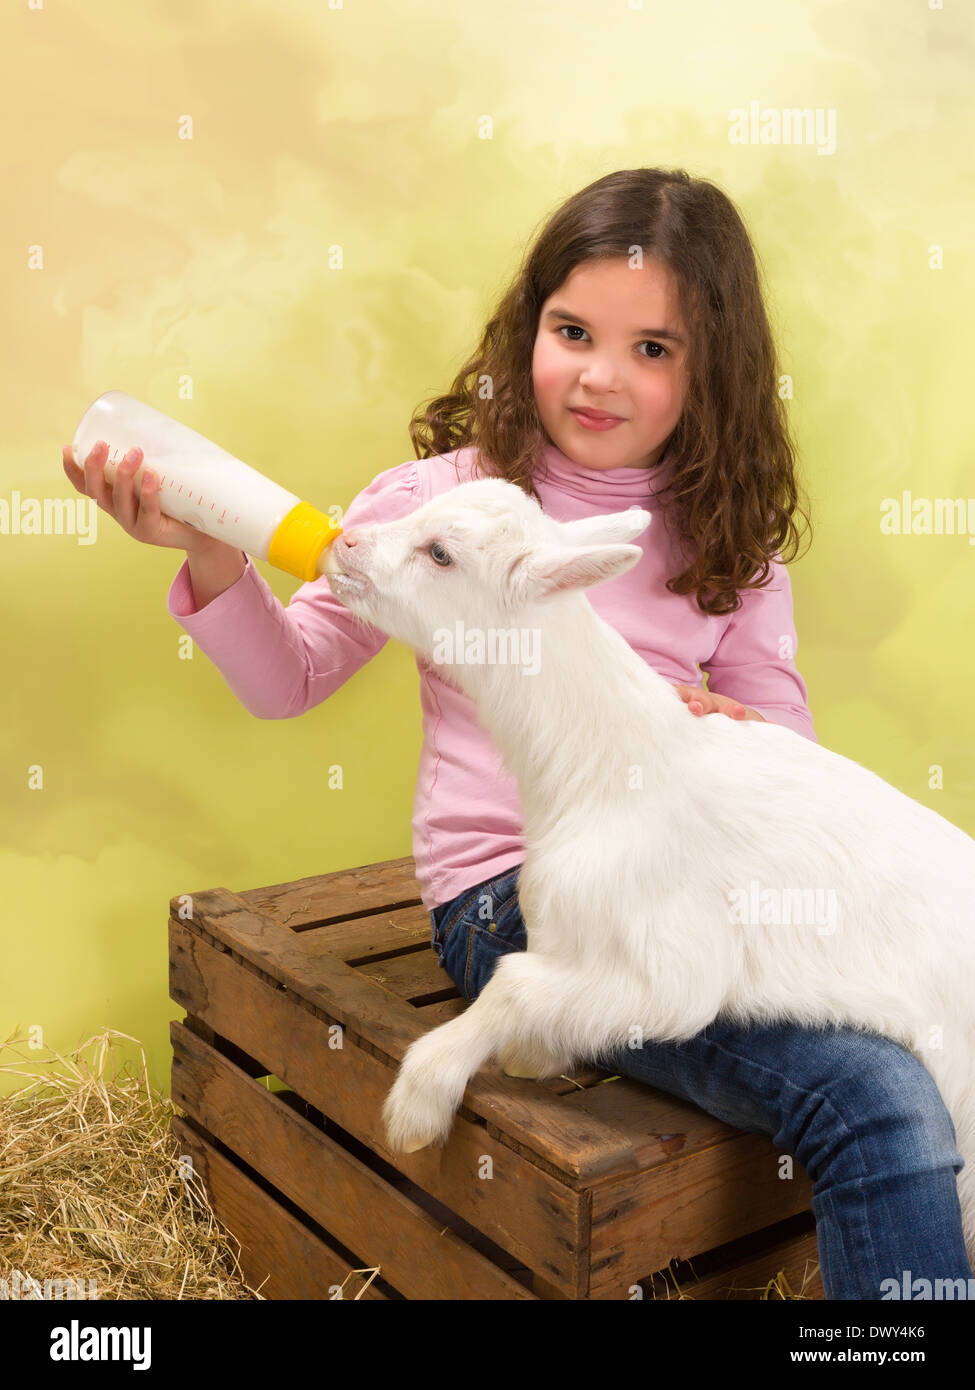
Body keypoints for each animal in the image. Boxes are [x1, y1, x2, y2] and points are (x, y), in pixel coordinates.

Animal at [322, 477, 975, 1266]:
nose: (344, 542)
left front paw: (421, 1099)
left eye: (440, 553)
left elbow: (515, 983)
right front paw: (534, 1055)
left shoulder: (671, 967)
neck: (609, 767)